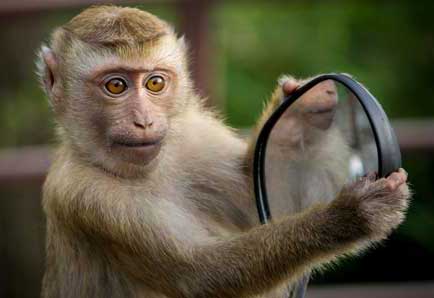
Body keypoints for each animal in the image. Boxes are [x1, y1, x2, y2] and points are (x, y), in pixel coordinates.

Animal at [37, 5, 410, 298]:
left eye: (155, 83)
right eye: (116, 86)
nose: (144, 121)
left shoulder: (193, 136)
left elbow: (255, 197)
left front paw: (298, 112)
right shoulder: (86, 197)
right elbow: (200, 276)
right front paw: (348, 216)